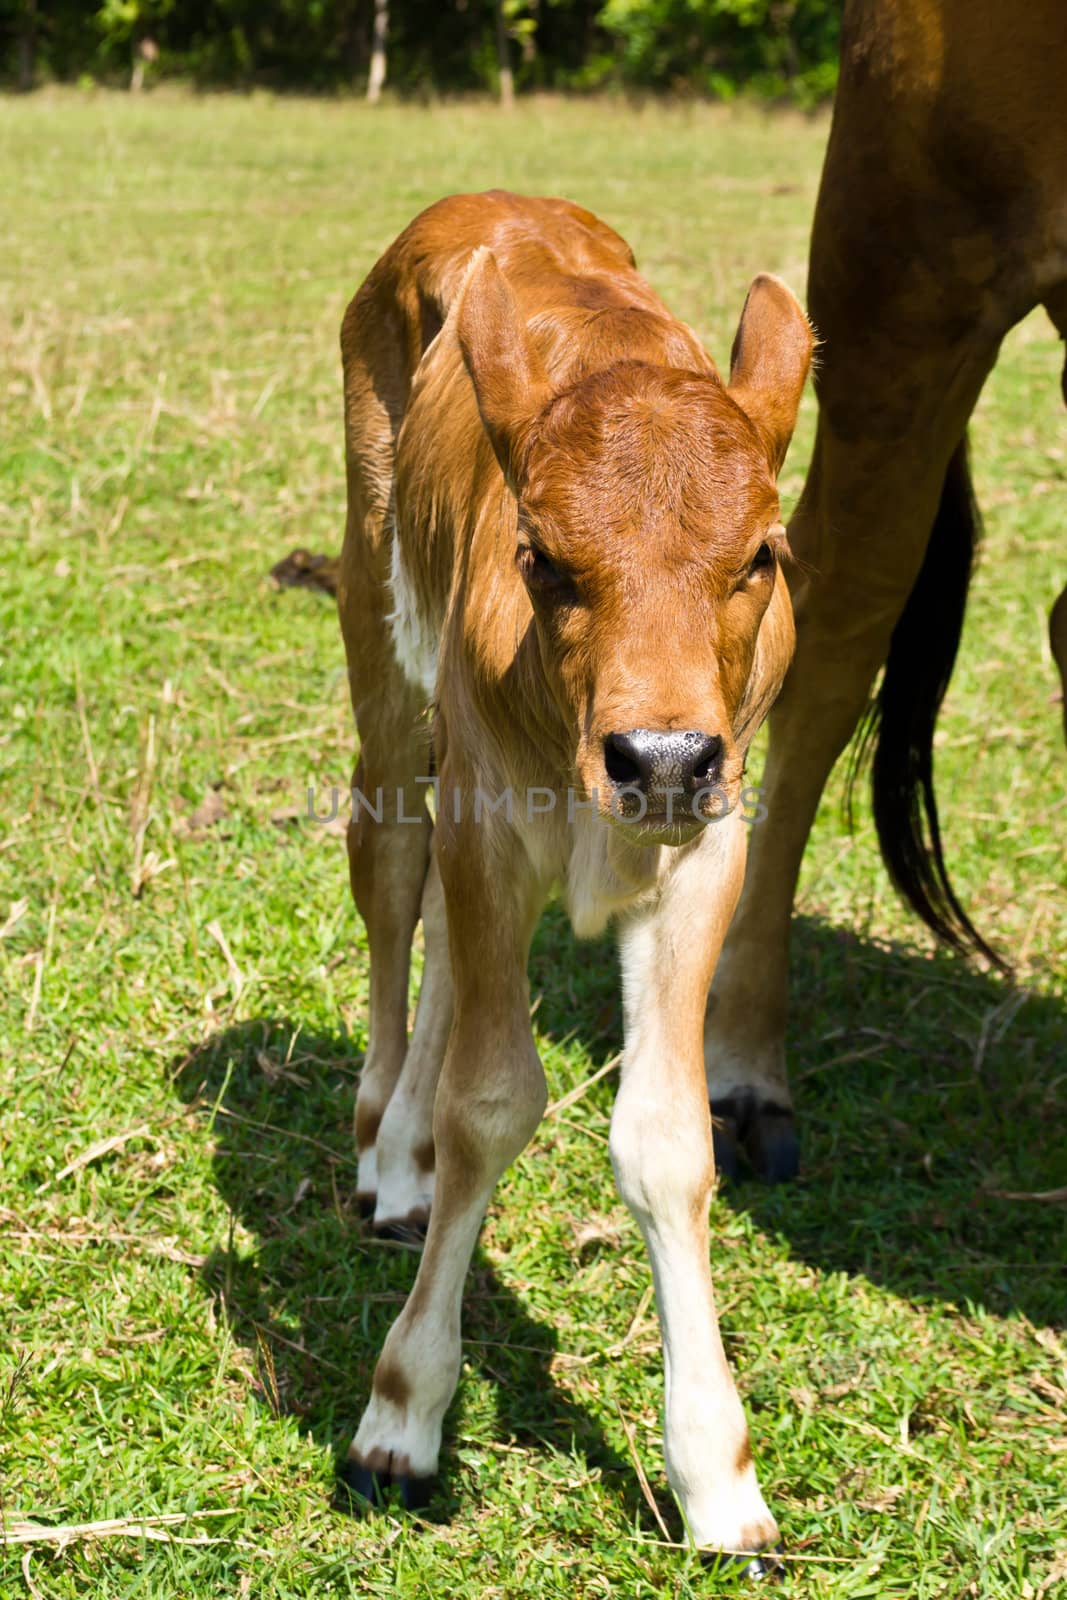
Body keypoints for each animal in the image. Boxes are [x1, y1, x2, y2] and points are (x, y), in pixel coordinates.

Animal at [334, 193, 809, 1568]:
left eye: (761, 552)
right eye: (540, 555)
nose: (656, 755)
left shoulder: (708, 840)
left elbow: (668, 1138)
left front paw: (716, 1471)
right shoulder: (494, 816)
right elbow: (490, 1102)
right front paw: (401, 1414)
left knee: (437, 928)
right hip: (380, 631)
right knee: (389, 869)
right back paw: (385, 1145)